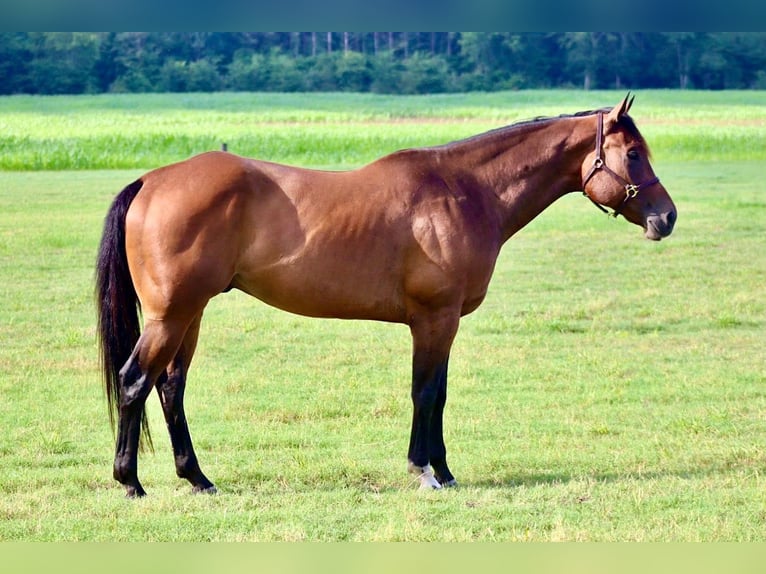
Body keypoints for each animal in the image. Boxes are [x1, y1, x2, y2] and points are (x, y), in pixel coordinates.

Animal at [96, 94, 676, 497]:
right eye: (632, 154)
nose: (666, 218)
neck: (464, 192)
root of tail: (151, 181)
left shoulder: (444, 323)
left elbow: (439, 394)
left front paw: (445, 469)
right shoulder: (434, 319)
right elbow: (425, 392)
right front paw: (425, 472)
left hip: (189, 315)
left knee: (170, 387)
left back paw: (198, 478)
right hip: (172, 315)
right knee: (135, 382)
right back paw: (131, 482)